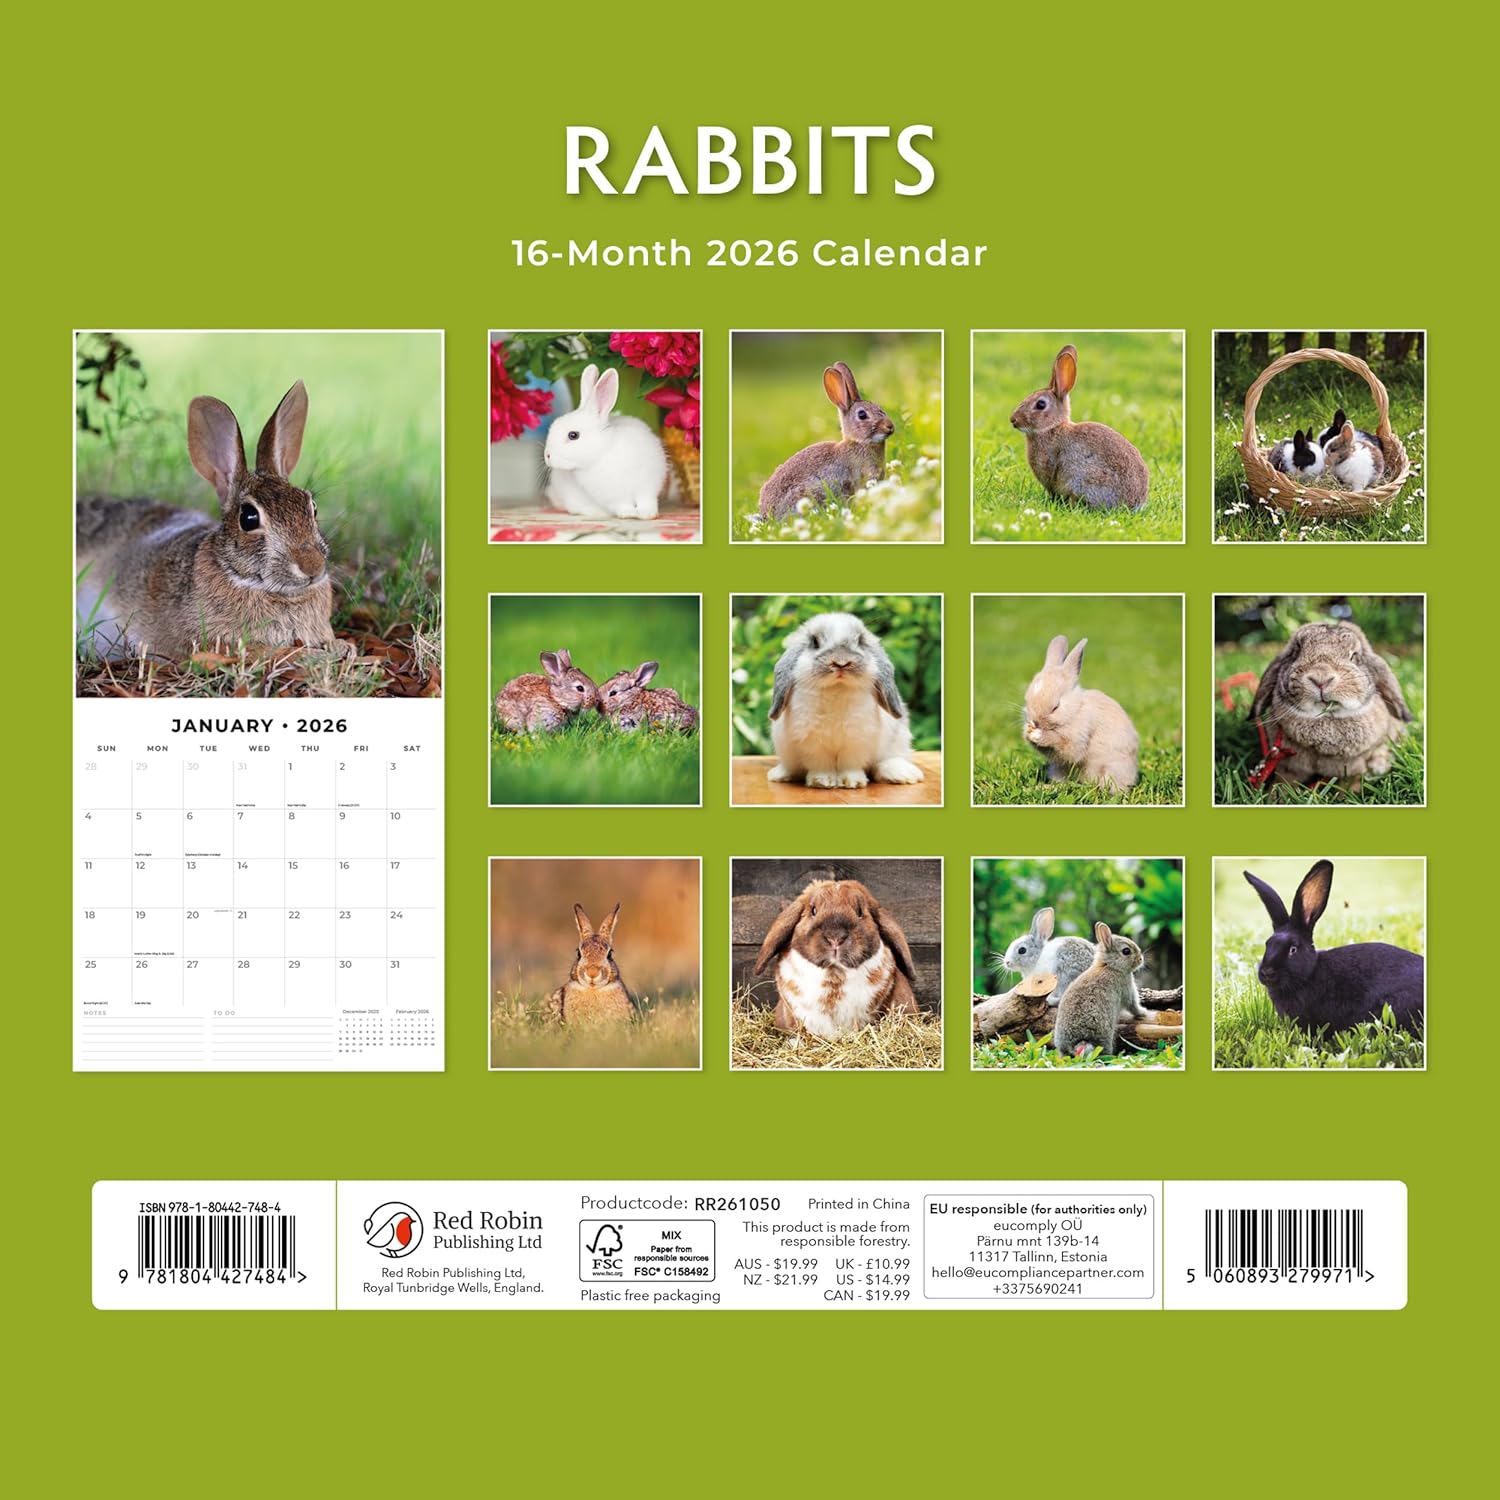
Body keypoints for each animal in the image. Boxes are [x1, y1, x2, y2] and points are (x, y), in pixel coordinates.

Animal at [544, 364, 669, 520]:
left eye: (573, 435)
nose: (547, 456)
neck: (603, 452)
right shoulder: (613, 497)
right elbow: (622, 504)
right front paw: (628, 514)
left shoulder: (647, 484)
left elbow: (646, 500)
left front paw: (648, 514)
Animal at [767, 611, 924, 788]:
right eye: (815, 642)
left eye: (860, 641)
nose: (841, 662)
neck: (837, 689)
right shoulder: (812, 742)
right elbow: (820, 763)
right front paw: (822, 781)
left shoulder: (856, 740)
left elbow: (850, 763)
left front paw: (852, 782)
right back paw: (780, 774)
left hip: (898, 741)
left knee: (886, 761)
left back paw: (902, 774)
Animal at [1023, 635, 1140, 792]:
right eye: (1027, 700)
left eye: (1056, 707)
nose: (1035, 722)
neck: (1075, 709)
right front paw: (1027, 732)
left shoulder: (1079, 735)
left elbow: (1066, 747)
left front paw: (1037, 734)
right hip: (1058, 770)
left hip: (1113, 769)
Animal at [1053, 923, 1145, 1057]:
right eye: (1126, 951)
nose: (1140, 959)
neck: (1110, 966)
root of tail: (1078, 1042)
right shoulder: (1127, 990)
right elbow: (1133, 1006)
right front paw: (1143, 1012)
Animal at [1249, 620, 1412, 786]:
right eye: (1297, 651)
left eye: (1354, 656)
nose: (1321, 678)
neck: (1326, 719)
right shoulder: (1288, 766)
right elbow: (1283, 783)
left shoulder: (1354, 770)